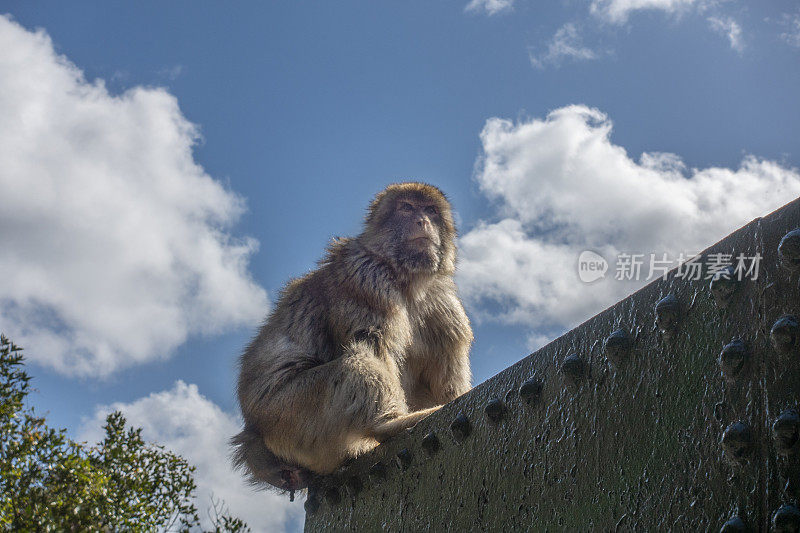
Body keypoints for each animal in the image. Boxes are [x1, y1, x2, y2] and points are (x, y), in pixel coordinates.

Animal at [231, 182, 472, 490]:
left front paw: (454, 396)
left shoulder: (442, 303)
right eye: (407, 208)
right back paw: (388, 424)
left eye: (430, 210)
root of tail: (254, 436)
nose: (423, 221)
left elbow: (444, 365)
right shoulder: (366, 280)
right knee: (355, 361)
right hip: (288, 415)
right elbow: (376, 345)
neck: (407, 280)